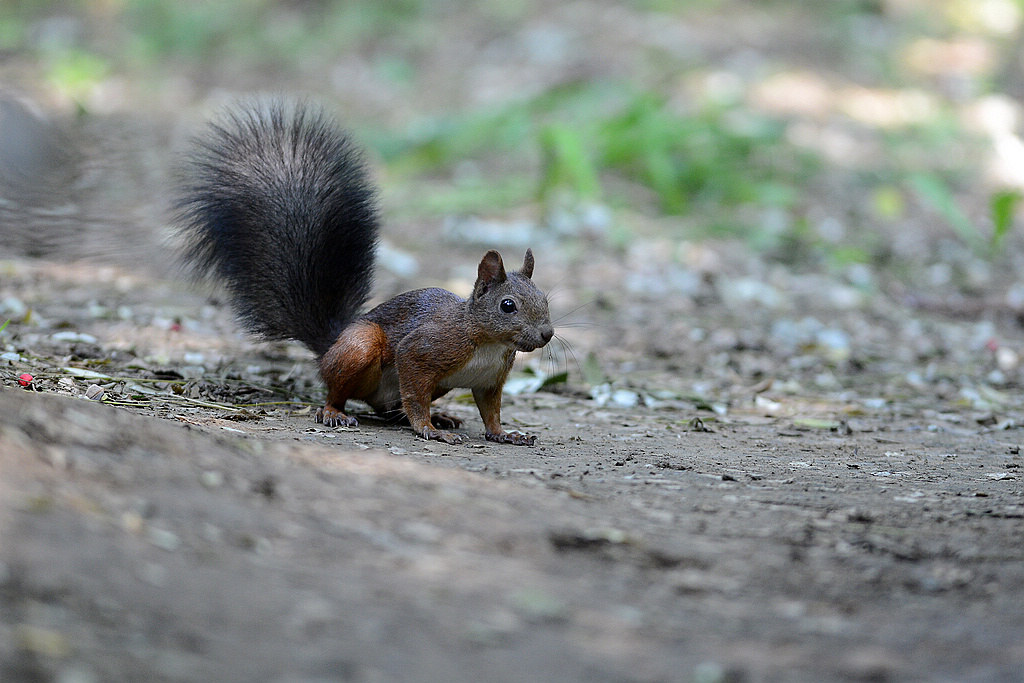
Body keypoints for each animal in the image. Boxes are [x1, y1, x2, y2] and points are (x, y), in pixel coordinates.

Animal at [179, 98, 557, 446]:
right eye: (507, 306)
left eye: (545, 300)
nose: (547, 333)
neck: (487, 342)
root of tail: (332, 344)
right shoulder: (423, 350)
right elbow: (414, 392)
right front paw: (428, 428)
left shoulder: (490, 380)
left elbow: (491, 411)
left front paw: (505, 434)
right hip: (358, 349)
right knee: (339, 392)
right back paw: (335, 412)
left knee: (387, 407)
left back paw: (437, 415)